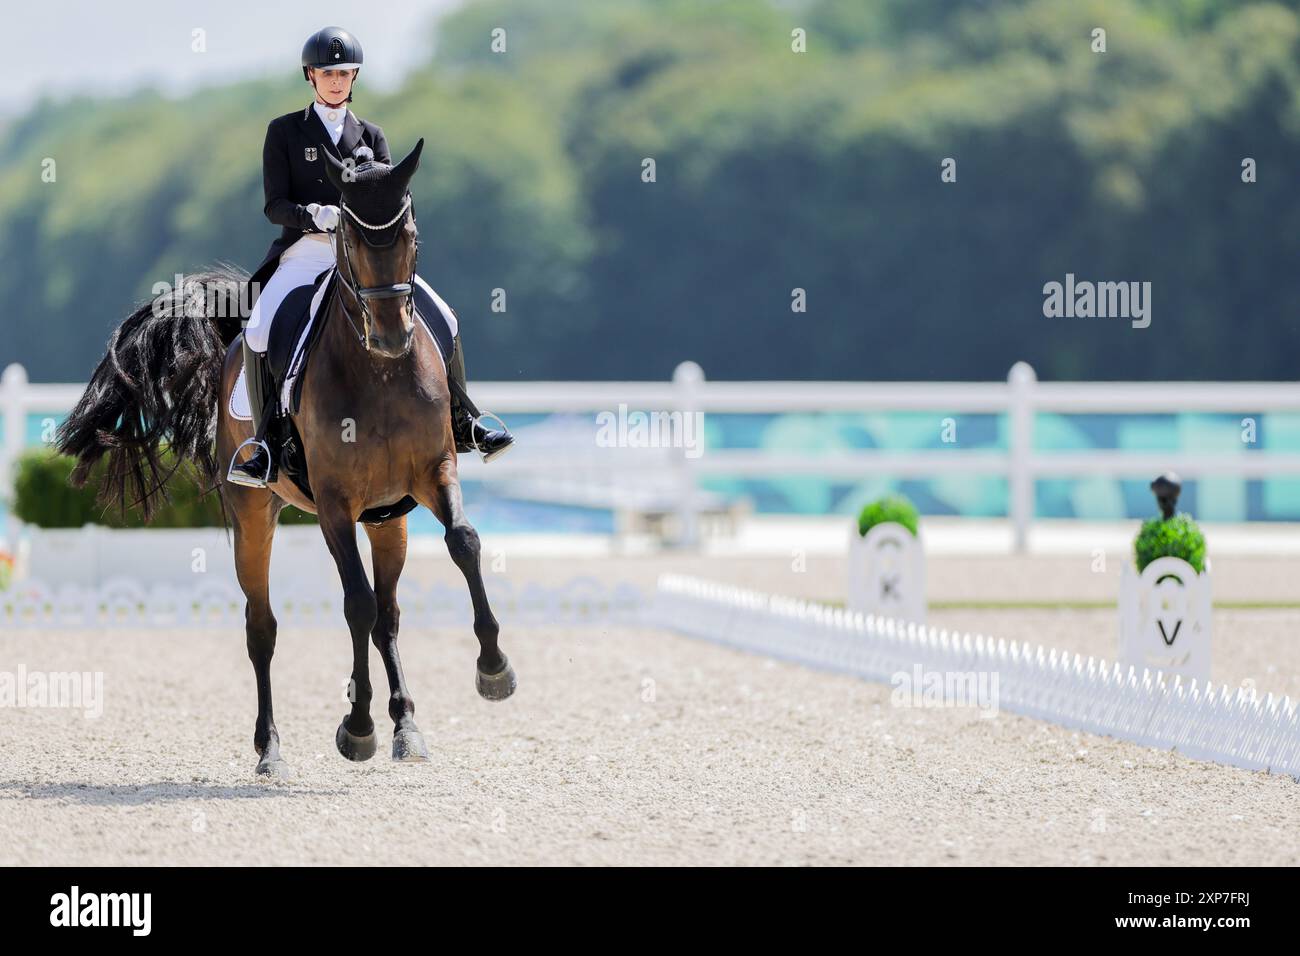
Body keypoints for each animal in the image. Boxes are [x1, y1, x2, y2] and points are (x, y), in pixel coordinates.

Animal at [55, 136, 514, 780]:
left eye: (411, 237)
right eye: (348, 238)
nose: (393, 337)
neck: (379, 373)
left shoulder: (433, 474)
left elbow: (463, 545)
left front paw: (494, 669)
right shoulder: (334, 504)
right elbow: (355, 604)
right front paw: (357, 727)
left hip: (389, 519)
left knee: (390, 615)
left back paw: (407, 726)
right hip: (254, 516)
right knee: (263, 628)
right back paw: (271, 749)